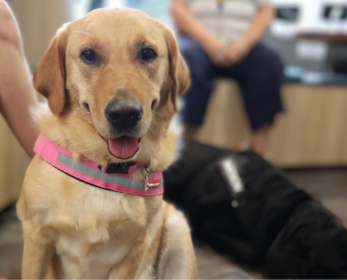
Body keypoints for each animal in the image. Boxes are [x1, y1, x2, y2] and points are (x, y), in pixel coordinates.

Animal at [17, 7, 197, 278]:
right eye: (88, 55)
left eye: (148, 53)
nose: (124, 114)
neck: (103, 170)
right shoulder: (36, 237)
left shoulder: (134, 251)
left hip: (177, 232)